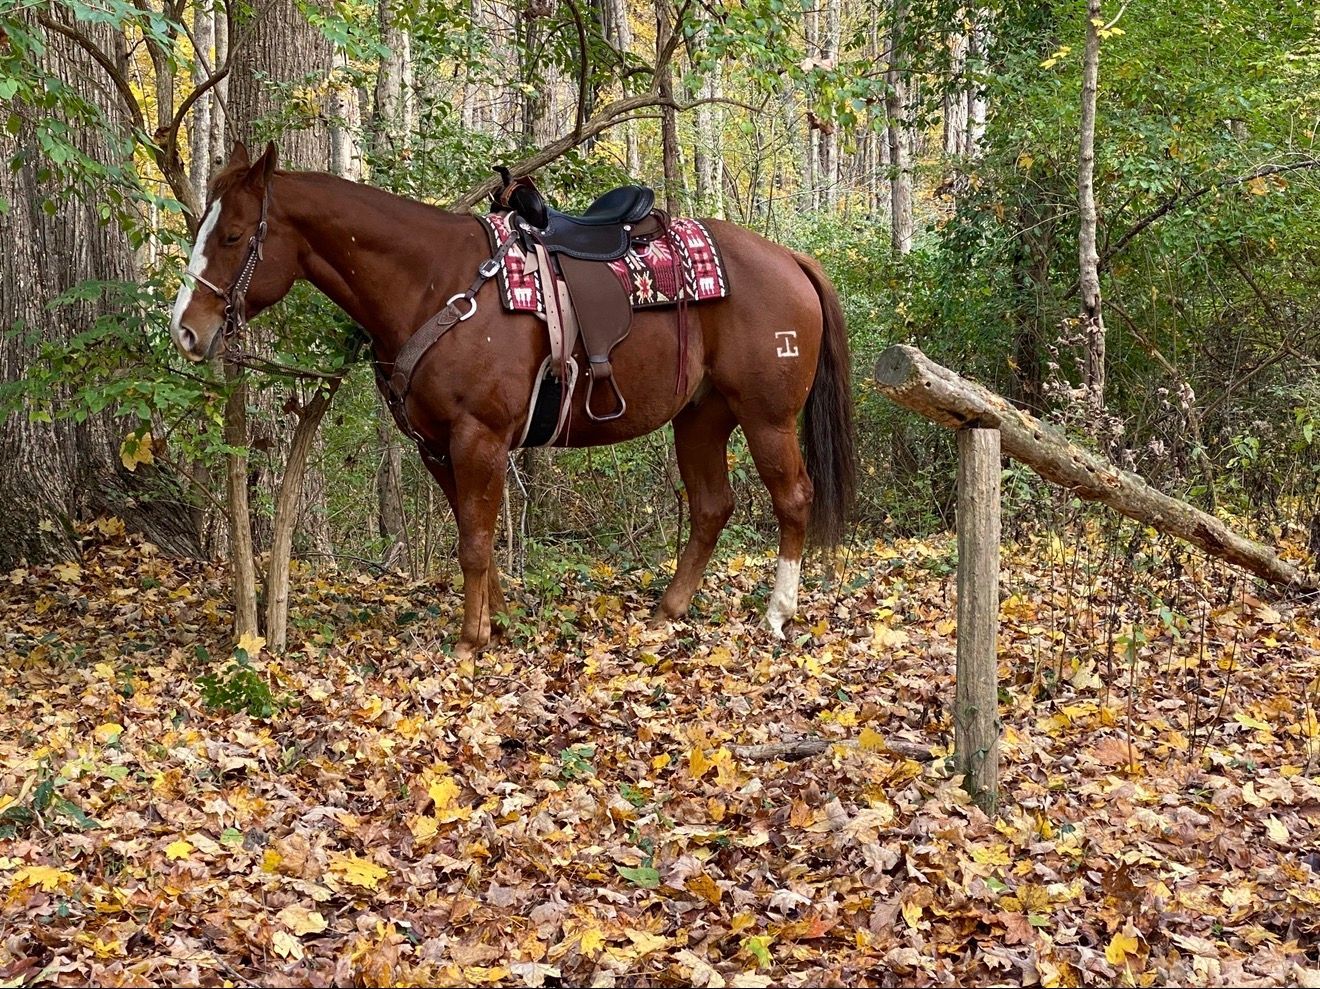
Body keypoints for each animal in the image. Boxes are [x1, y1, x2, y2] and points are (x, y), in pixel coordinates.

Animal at [168, 141, 856, 660]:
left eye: (233, 236)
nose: (185, 330)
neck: (435, 283)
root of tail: (789, 259)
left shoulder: (480, 436)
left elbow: (474, 541)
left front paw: (470, 642)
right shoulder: (438, 446)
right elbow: (473, 534)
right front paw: (494, 623)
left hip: (766, 417)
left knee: (793, 498)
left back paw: (777, 613)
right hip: (700, 417)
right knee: (713, 507)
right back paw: (667, 611)